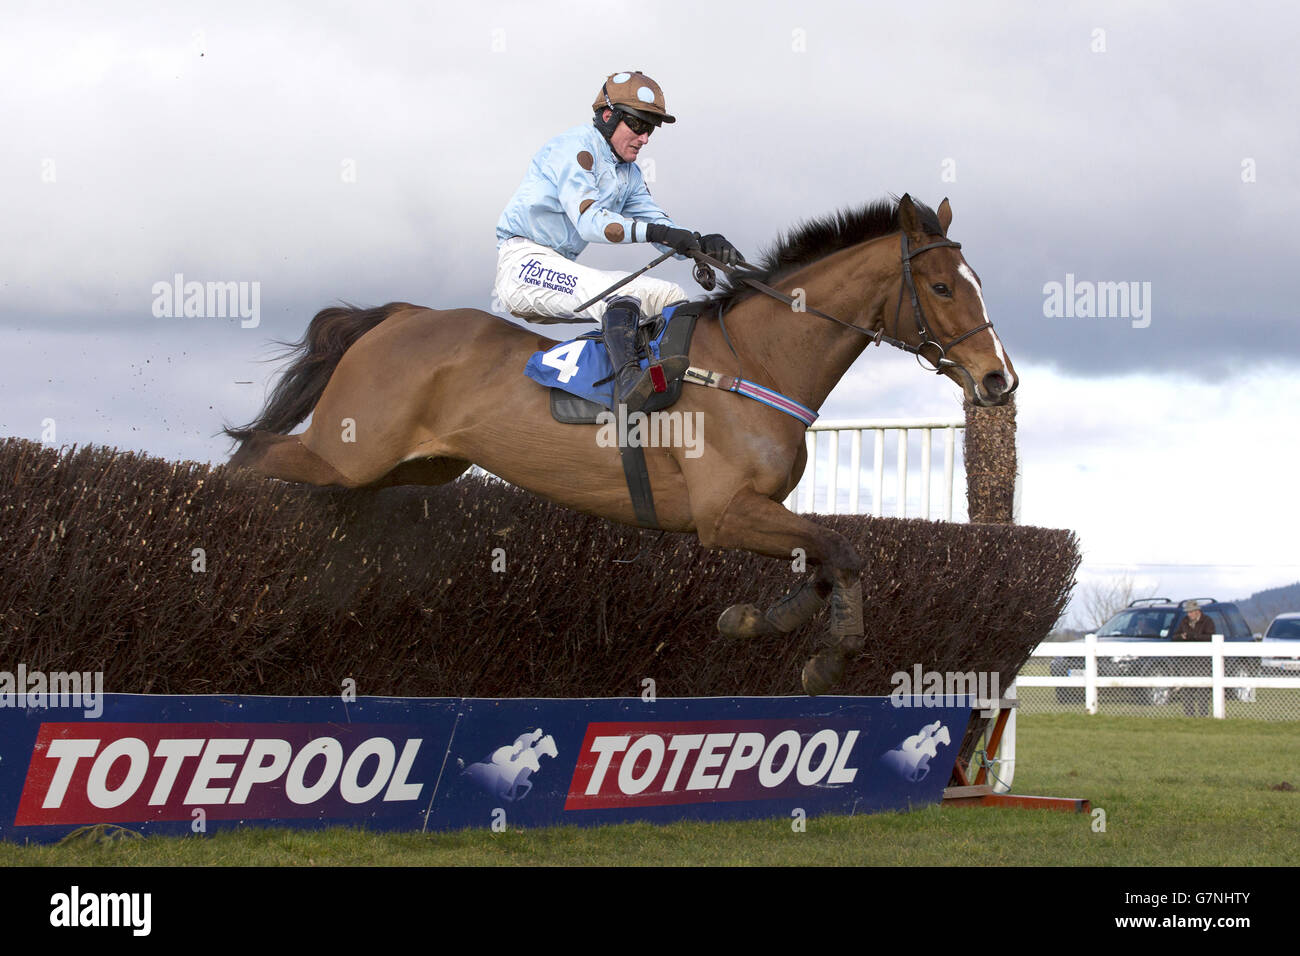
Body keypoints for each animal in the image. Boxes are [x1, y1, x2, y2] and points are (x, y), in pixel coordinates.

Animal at [223, 195, 1013, 697]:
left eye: (977, 282)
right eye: (942, 287)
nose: (998, 379)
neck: (756, 360)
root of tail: (397, 316)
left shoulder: (760, 510)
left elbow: (823, 559)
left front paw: (759, 620)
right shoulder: (723, 513)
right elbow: (843, 549)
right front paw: (827, 659)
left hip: (409, 467)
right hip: (348, 452)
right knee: (254, 456)